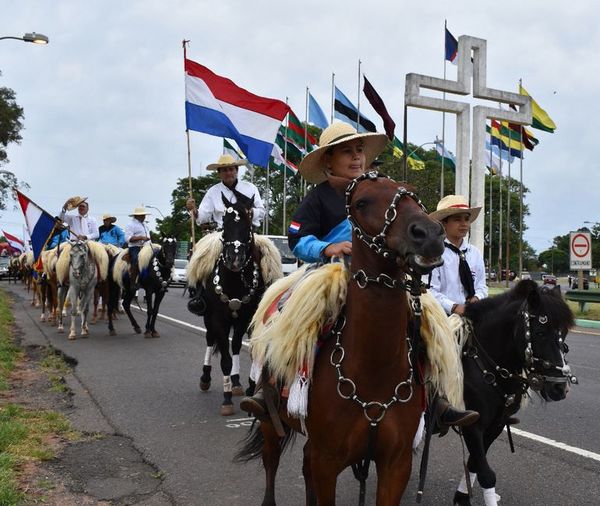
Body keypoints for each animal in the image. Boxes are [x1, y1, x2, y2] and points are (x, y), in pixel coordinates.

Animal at [188, 192, 282, 418]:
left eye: (248, 222)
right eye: (225, 221)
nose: (235, 259)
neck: (236, 279)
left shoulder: (249, 319)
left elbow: (244, 349)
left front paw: (248, 386)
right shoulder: (218, 320)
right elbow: (225, 359)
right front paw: (227, 398)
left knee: (237, 344)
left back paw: (237, 381)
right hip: (208, 318)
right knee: (209, 339)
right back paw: (206, 378)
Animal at [237, 172, 448, 504]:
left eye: (412, 193)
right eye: (361, 202)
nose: (428, 234)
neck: (374, 370)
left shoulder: (396, 463)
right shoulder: (328, 461)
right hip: (271, 421)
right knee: (271, 462)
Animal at [450, 280, 576, 506]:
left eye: (565, 333)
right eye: (540, 333)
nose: (560, 388)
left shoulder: (496, 425)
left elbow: (474, 464)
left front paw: (462, 496)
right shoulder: (473, 425)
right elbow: (486, 474)